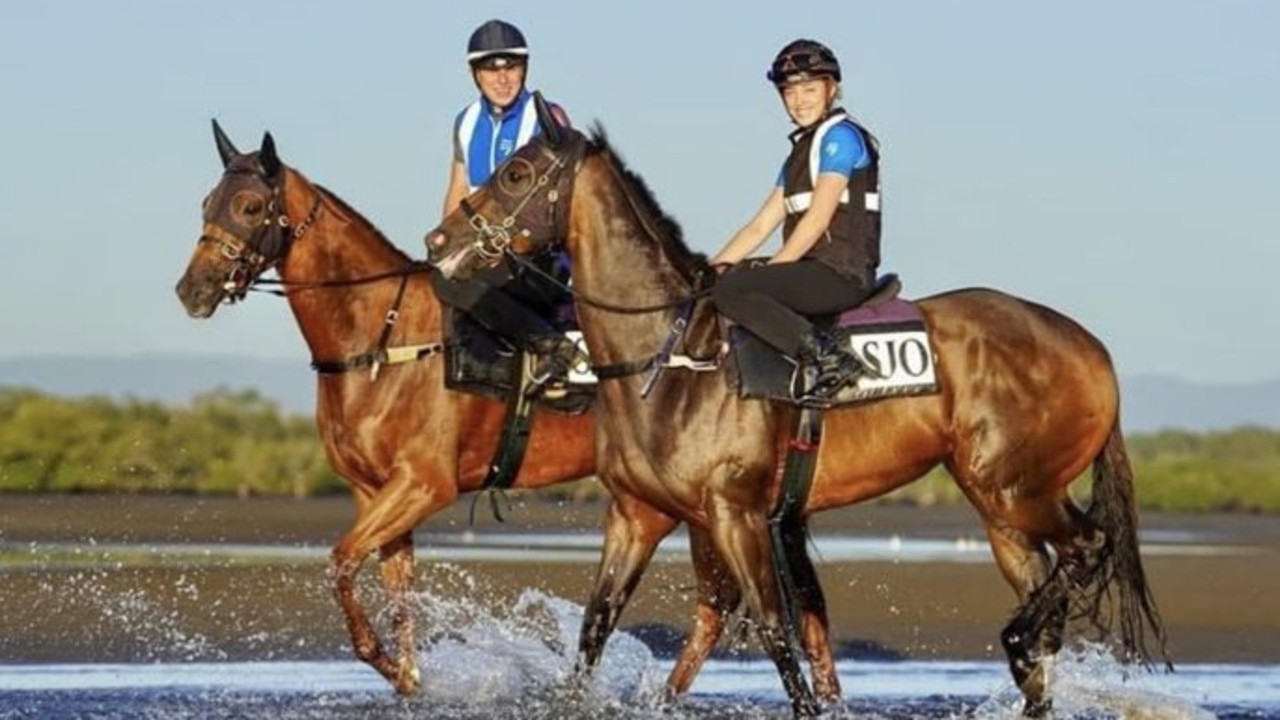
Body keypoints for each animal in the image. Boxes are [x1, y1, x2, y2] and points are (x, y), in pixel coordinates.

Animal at [427, 98, 1172, 712]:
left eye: (518, 172)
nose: (441, 242)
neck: (667, 356)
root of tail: (1088, 344)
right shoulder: (636, 516)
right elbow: (594, 627)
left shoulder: (737, 515)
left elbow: (776, 632)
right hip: (1002, 510)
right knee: (1046, 603)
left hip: (1015, 489)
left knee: (1086, 551)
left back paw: (1019, 636)